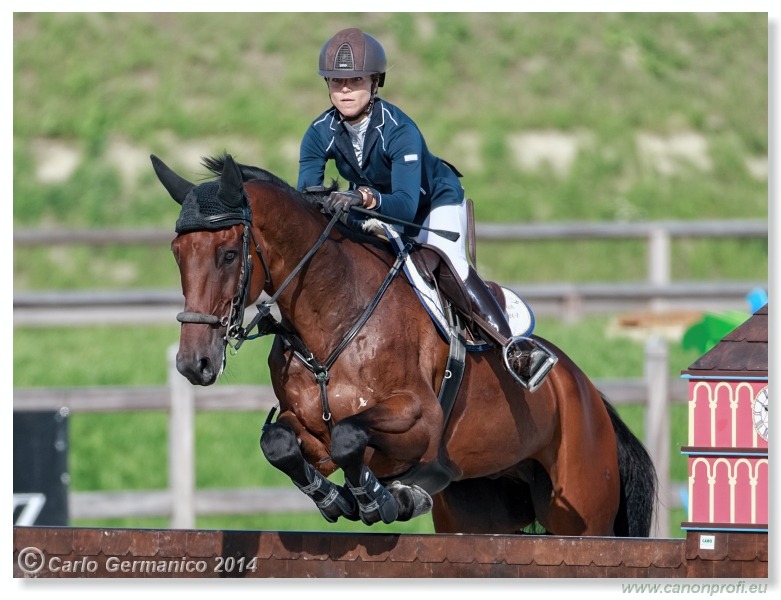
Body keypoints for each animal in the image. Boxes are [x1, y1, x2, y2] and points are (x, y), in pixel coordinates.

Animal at [149, 154, 656, 536]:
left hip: (582, 509)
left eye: (228, 254)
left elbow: (350, 435)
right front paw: (339, 499)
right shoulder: (307, 429)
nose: (195, 363)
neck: (335, 316)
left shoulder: (419, 419)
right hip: (479, 512)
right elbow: (280, 442)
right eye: (177, 253)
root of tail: (588, 393)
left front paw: (380, 499)